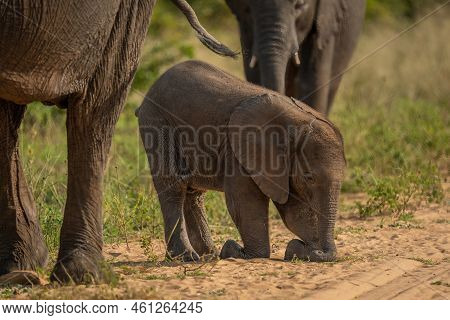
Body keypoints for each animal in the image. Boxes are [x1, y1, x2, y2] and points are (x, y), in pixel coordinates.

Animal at [139, 60, 346, 262]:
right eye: (309, 178)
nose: (318, 250)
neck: (298, 121)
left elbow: (294, 212)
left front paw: (301, 249)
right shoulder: (239, 152)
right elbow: (245, 203)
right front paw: (236, 251)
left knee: (193, 193)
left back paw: (208, 255)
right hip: (157, 122)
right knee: (174, 186)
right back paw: (187, 257)